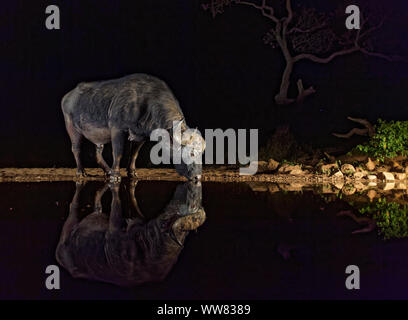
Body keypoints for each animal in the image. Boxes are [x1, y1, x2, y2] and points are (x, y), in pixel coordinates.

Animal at [55, 180, 206, 288]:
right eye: (171, 214)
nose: (186, 189)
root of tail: (59, 255)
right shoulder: (115, 227)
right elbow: (117, 203)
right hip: (68, 226)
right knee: (73, 207)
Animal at [61, 73, 206, 181]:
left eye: (201, 154)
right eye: (191, 153)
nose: (197, 177)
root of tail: (67, 97)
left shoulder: (140, 135)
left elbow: (134, 154)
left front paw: (132, 173)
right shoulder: (117, 129)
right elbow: (118, 152)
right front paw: (115, 175)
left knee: (98, 152)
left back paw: (107, 171)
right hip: (72, 128)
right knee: (76, 149)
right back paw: (81, 172)